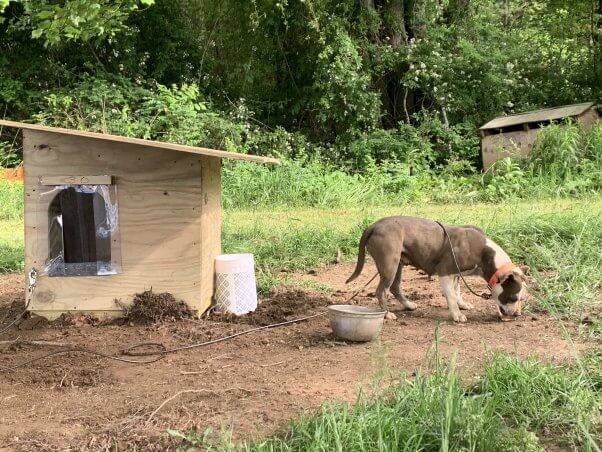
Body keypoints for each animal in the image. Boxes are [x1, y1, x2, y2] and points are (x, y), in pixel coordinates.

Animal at [346, 215, 524, 322]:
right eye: (513, 298)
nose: (517, 314)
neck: (485, 253)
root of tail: (374, 225)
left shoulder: (456, 274)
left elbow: (457, 291)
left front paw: (462, 304)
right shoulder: (445, 272)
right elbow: (451, 296)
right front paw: (457, 315)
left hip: (397, 265)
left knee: (394, 287)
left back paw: (408, 305)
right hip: (389, 264)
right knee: (381, 290)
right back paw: (387, 313)